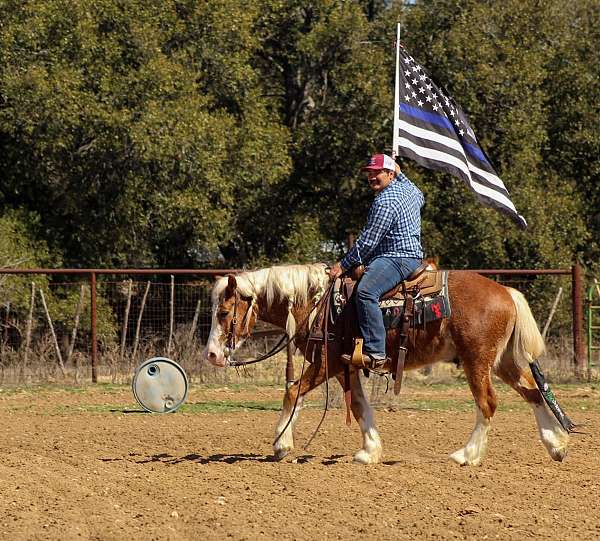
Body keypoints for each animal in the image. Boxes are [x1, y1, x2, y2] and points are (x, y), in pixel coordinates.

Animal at [206, 264, 572, 466]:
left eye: (223, 313)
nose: (211, 354)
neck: (319, 302)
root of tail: (507, 292)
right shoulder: (347, 366)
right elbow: (359, 405)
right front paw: (369, 451)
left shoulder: (326, 362)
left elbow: (293, 391)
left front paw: (282, 444)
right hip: (503, 361)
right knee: (533, 392)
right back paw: (556, 445)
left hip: (477, 361)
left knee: (488, 404)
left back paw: (466, 455)